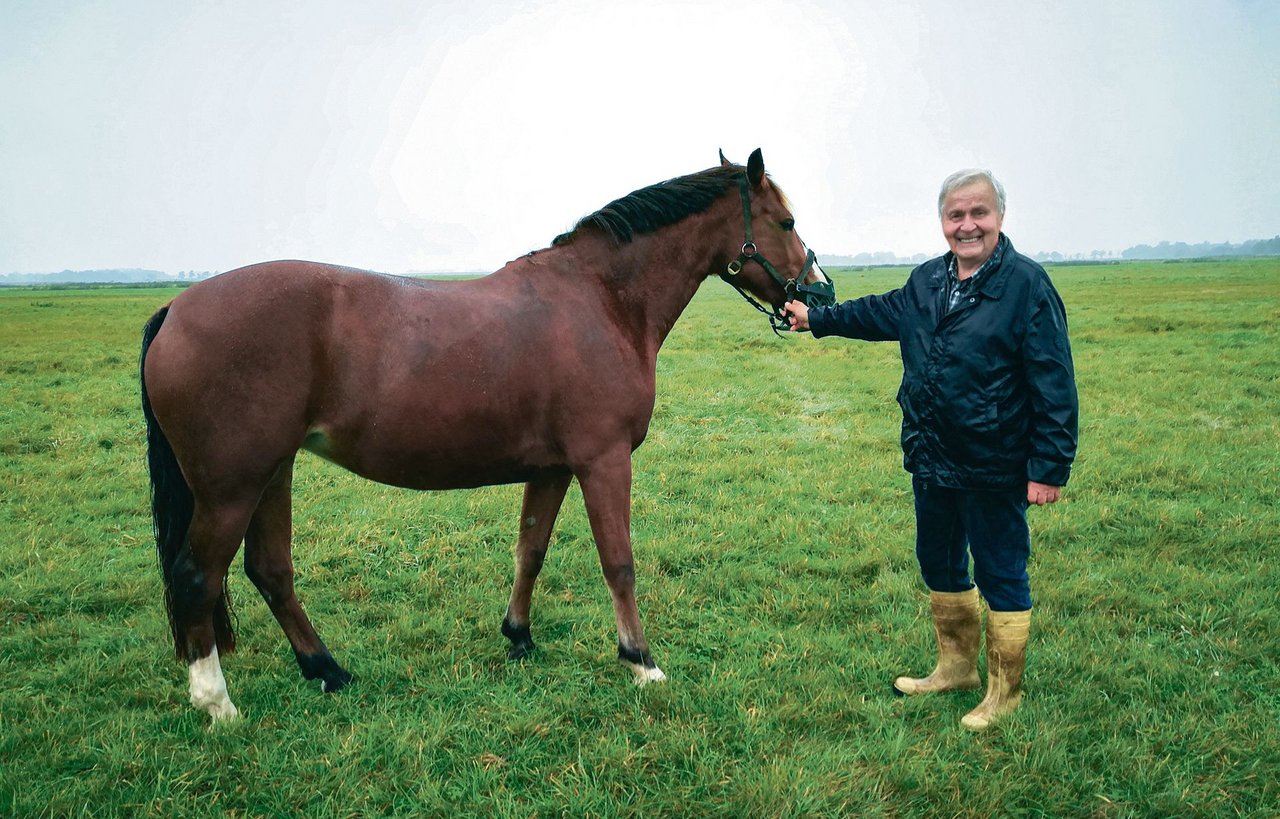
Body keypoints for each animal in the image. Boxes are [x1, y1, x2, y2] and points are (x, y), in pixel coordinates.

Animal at [140, 147, 834, 716]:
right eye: (786, 222)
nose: (820, 297)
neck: (601, 301)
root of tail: (177, 308)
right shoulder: (604, 460)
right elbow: (619, 562)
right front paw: (640, 662)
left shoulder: (552, 468)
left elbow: (531, 550)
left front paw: (519, 637)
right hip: (231, 486)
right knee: (197, 576)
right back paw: (217, 703)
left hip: (271, 471)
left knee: (270, 570)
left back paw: (327, 671)